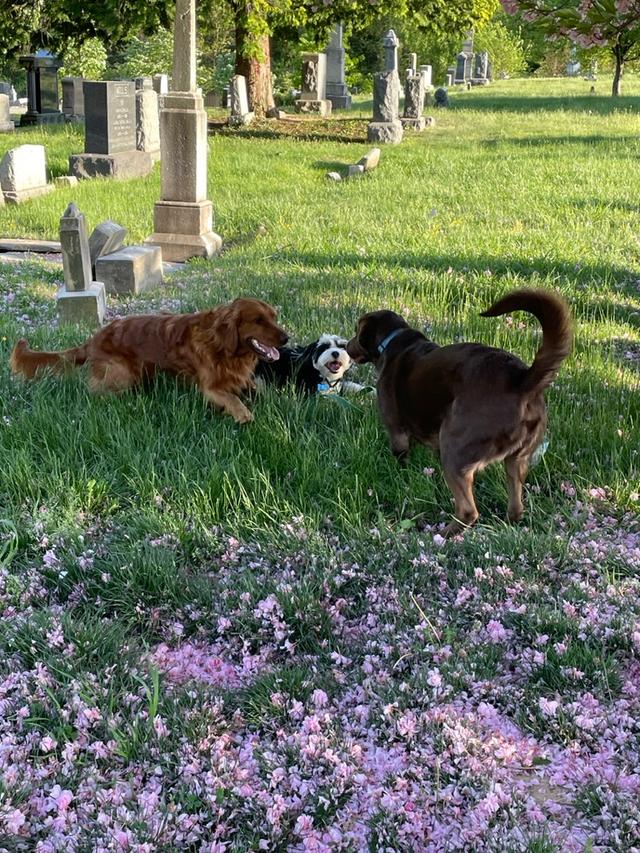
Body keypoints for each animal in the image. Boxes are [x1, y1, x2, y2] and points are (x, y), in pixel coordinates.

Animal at [8, 298, 284, 424]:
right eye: (258, 320)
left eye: (274, 316)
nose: (286, 337)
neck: (223, 347)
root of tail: (92, 340)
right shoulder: (210, 387)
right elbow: (232, 398)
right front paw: (244, 414)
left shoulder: (242, 379)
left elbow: (261, 390)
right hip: (123, 373)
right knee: (97, 392)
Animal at [348, 290, 572, 536]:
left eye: (356, 330)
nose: (346, 345)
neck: (393, 341)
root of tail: (521, 379)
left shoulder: (396, 430)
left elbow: (401, 458)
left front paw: (401, 476)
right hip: (518, 459)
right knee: (516, 505)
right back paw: (507, 522)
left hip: (455, 447)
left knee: (468, 510)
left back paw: (443, 533)